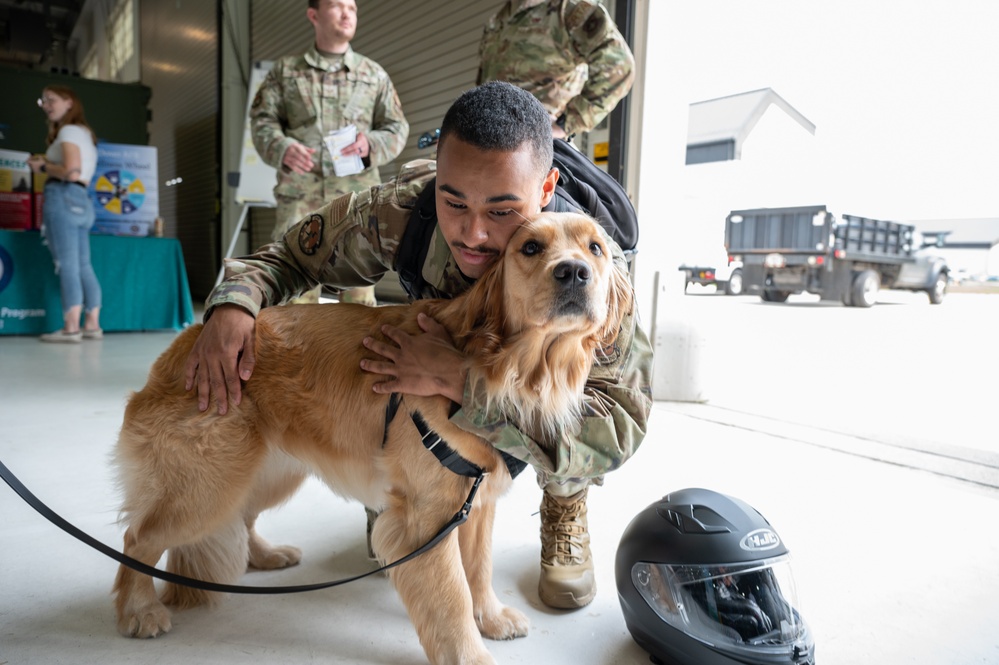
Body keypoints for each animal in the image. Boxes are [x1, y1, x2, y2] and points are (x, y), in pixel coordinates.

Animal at [111, 210, 632, 660]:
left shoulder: (477, 503)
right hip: (209, 484)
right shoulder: (427, 520)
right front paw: (470, 654)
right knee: (138, 537)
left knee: (240, 518)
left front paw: (492, 617)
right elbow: (453, 597)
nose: (574, 272)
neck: (496, 366)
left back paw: (266, 555)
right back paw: (138, 610)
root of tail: (184, 344)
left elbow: (479, 570)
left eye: (595, 247)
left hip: (267, 473)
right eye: (530, 247)